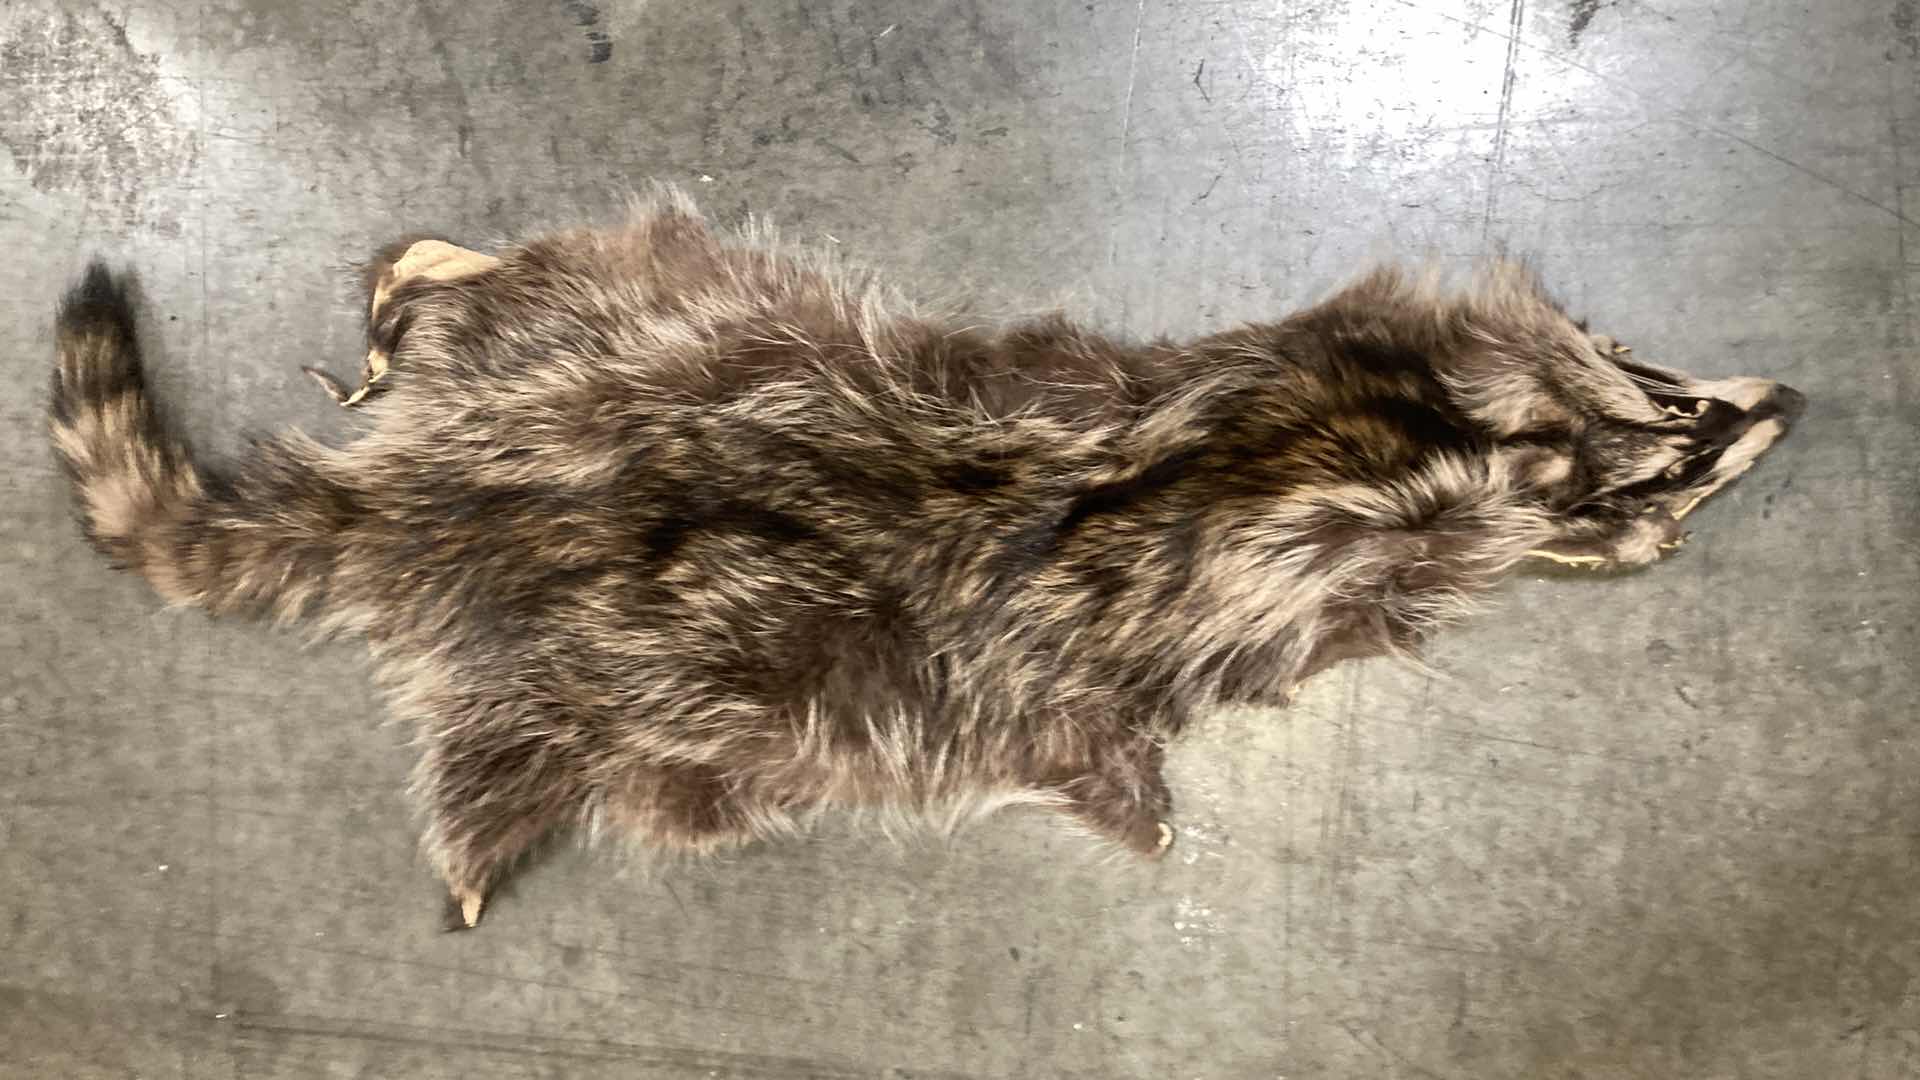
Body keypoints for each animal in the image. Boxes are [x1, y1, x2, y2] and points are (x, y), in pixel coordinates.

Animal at [48, 189, 1804, 929]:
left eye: (1664, 388)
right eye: (1684, 455)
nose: (1786, 402)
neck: (1403, 443)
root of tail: (440, 497)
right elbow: (1107, 764)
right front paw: (1148, 817)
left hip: (612, 330)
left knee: (504, 291)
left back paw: (420, 284)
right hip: (620, 691)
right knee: (531, 775)